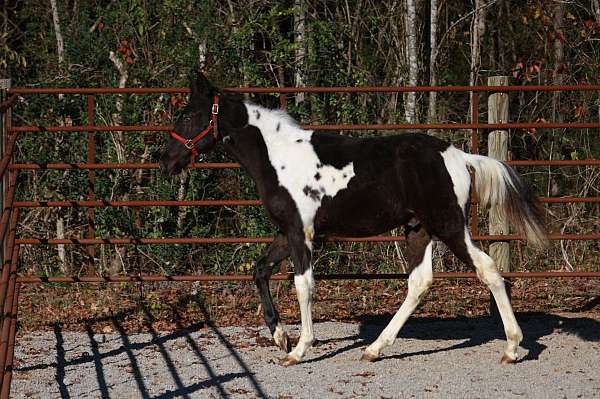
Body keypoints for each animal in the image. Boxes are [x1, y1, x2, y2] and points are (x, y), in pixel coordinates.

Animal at [161, 72, 548, 368]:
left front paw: (298, 350)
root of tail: (460, 157)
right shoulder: (288, 232)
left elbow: (303, 286)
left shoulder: (301, 234)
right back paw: (374, 349)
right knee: (420, 282)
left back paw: (512, 348)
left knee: (487, 269)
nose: (166, 161)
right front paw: (280, 336)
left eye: (189, 117)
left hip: (449, 226)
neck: (278, 158)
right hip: (417, 229)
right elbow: (260, 271)